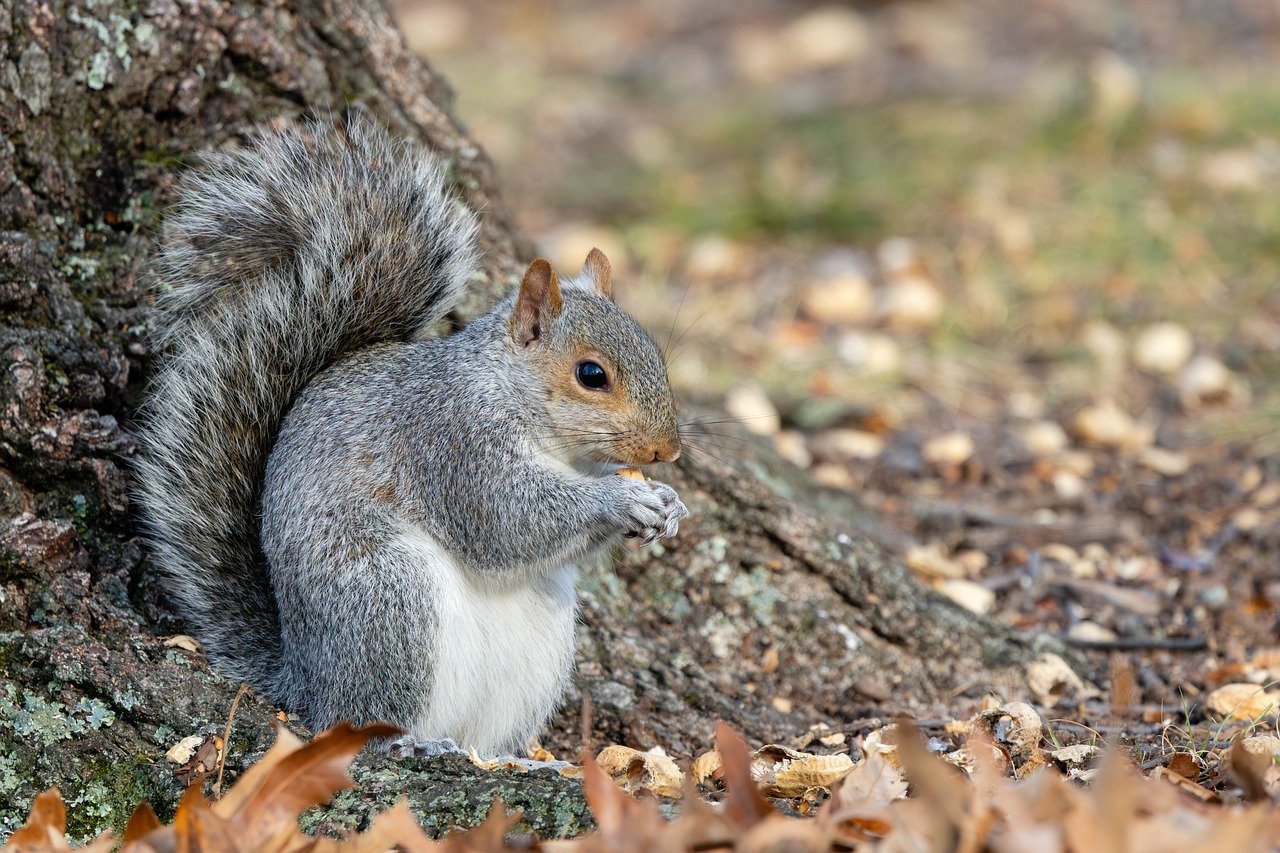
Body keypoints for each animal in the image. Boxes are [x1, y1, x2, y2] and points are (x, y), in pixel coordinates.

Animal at [134, 118, 689, 756]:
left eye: (656, 355)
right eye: (591, 374)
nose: (667, 451)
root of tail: (305, 676)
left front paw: (667, 503)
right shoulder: (451, 441)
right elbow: (508, 520)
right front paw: (620, 499)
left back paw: (517, 760)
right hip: (389, 601)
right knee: (356, 721)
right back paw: (409, 743)